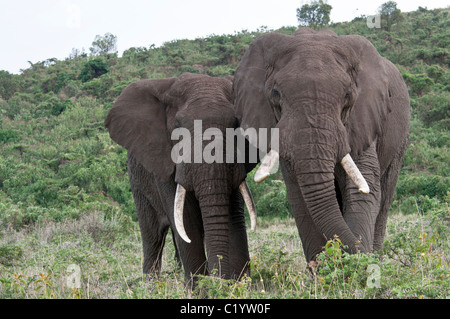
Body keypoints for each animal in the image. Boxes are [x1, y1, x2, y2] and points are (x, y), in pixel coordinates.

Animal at [103, 73, 255, 284]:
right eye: (177, 128)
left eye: (236, 125)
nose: (219, 279)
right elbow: (187, 222)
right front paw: (203, 289)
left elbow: (234, 217)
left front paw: (238, 285)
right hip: (138, 183)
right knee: (153, 237)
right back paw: (151, 285)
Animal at [234, 28, 410, 262]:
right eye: (275, 94)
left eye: (348, 95)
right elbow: (301, 198)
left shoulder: (363, 119)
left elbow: (364, 188)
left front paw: (357, 266)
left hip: (400, 140)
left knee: (385, 197)